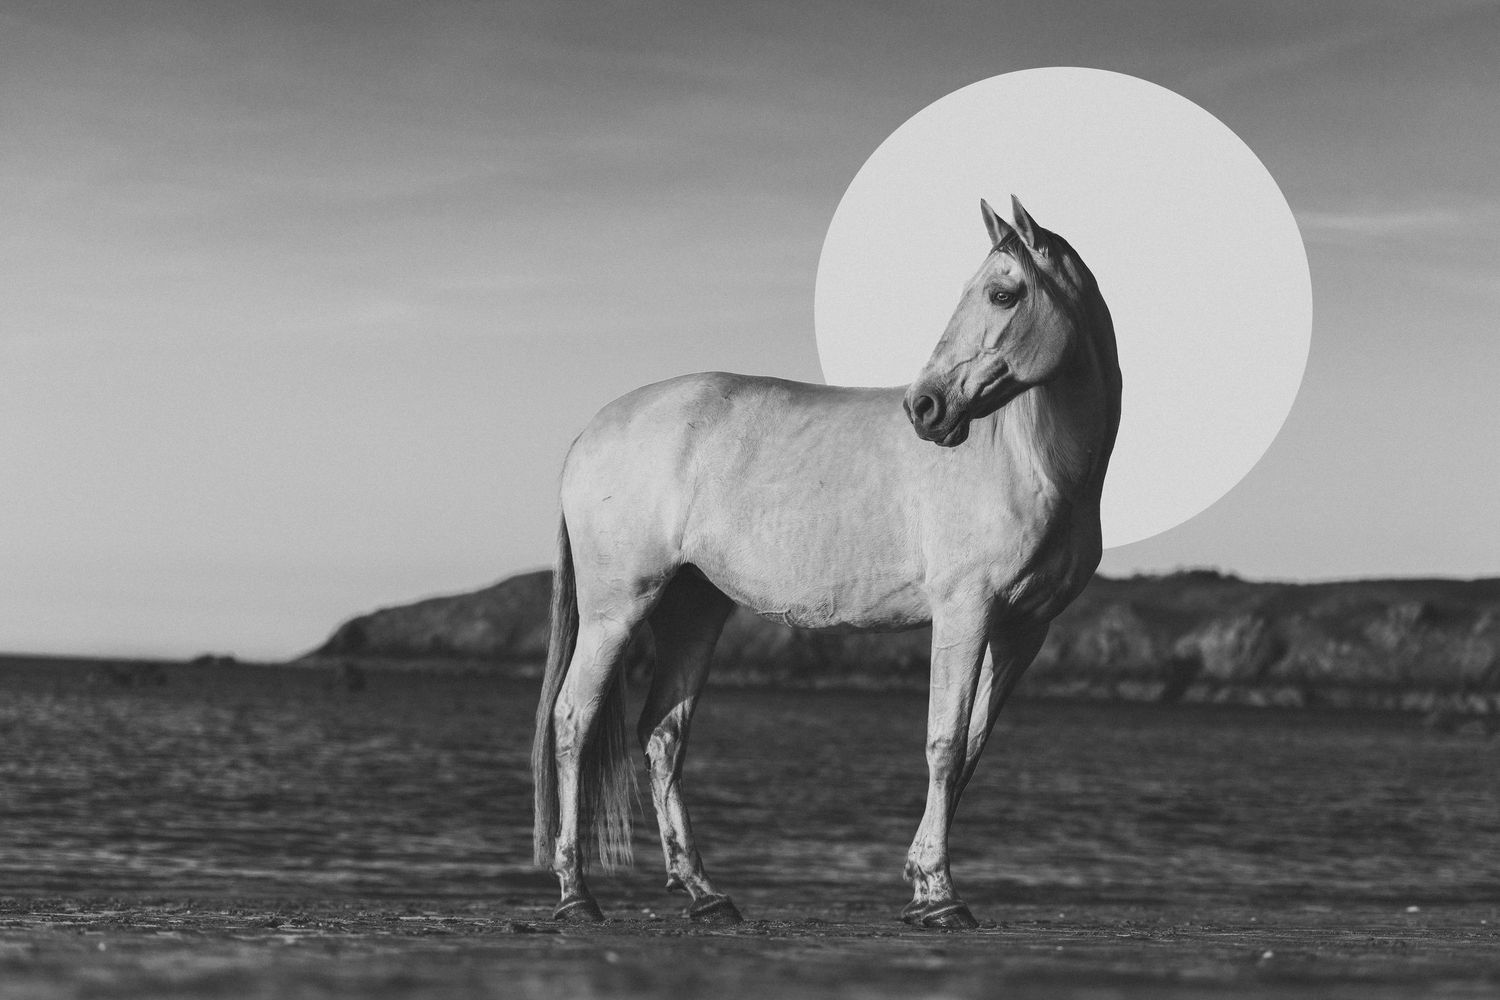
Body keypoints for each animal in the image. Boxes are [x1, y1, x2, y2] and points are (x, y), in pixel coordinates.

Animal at [532, 196, 1121, 929]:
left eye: (1002, 294)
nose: (925, 408)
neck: (1029, 461)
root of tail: (591, 431)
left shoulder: (1023, 631)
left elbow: (972, 751)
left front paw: (921, 883)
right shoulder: (966, 611)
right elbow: (944, 743)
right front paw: (940, 895)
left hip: (693, 608)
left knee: (663, 734)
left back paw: (704, 893)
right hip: (617, 608)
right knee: (573, 721)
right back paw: (575, 892)